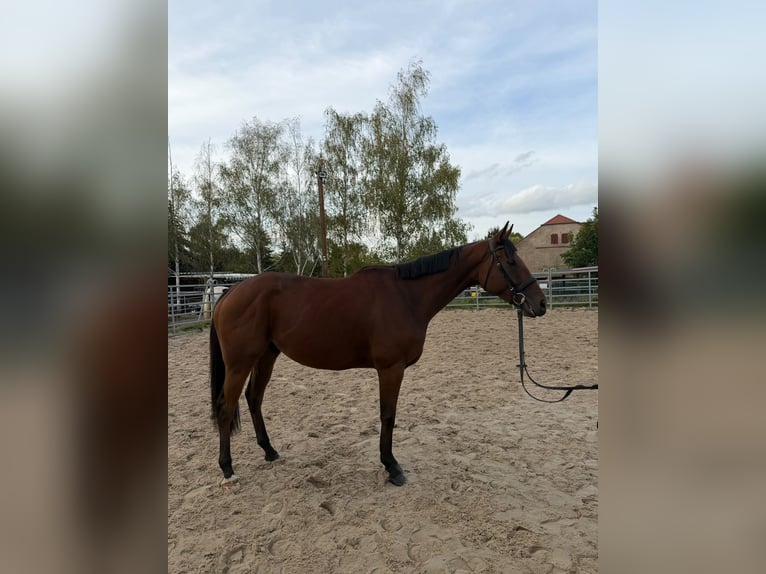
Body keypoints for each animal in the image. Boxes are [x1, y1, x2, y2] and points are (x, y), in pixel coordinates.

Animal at [209, 223, 546, 486]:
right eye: (511, 261)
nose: (540, 303)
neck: (407, 296)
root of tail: (231, 292)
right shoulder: (390, 368)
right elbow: (388, 415)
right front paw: (391, 467)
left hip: (267, 356)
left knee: (254, 399)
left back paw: (269, 451)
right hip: (239, 363)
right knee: (226, 408)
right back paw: (227, 469)